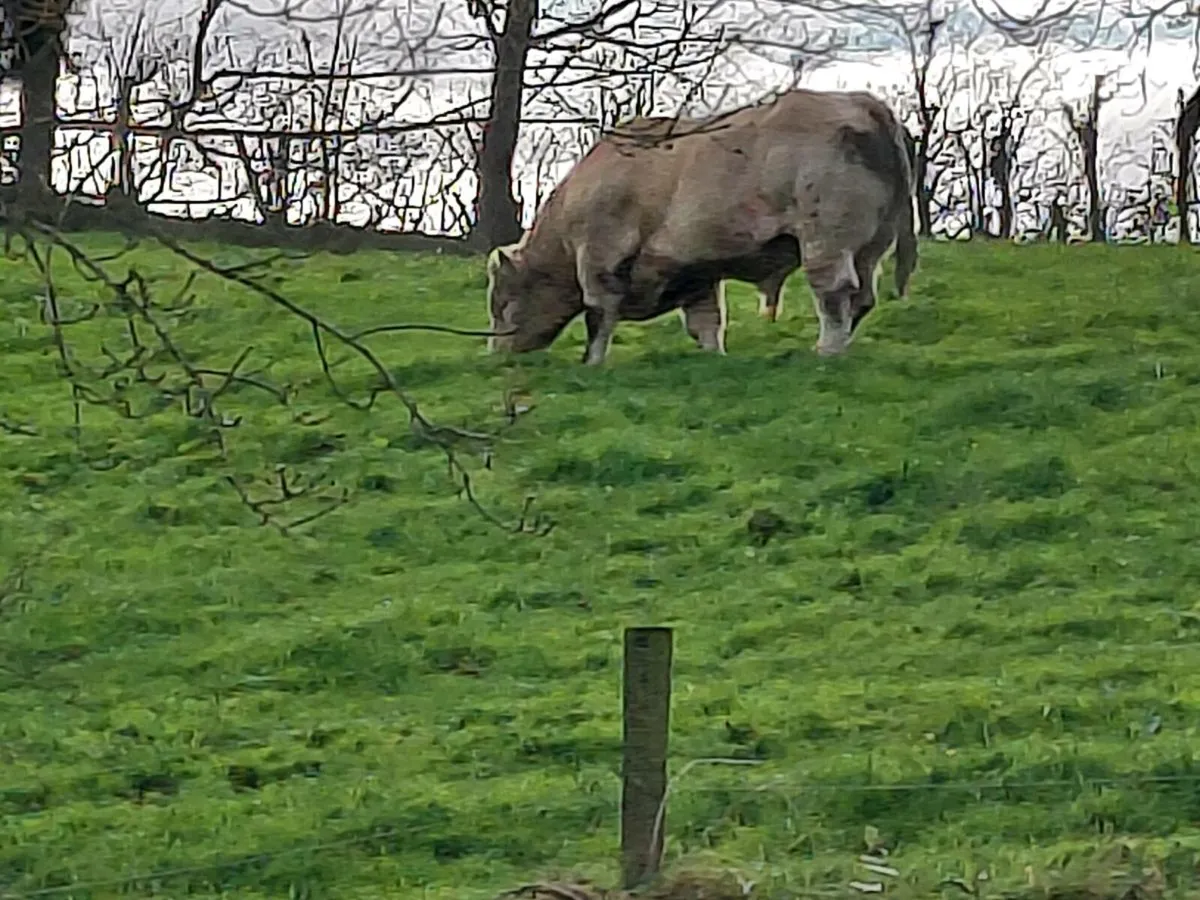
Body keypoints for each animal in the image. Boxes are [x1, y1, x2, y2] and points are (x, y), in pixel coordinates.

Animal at [485, 88, 918, 365]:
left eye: (502, 302)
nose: (496, 356)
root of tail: (860, 101)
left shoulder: (599, 257)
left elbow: (598, 315)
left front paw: (592, 363)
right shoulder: (696, 271)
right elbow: (706, 322)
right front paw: (714, 359)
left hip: (826, 241)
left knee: (835, 293)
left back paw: (827, 351)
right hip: (872, 246)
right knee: (862, 297)